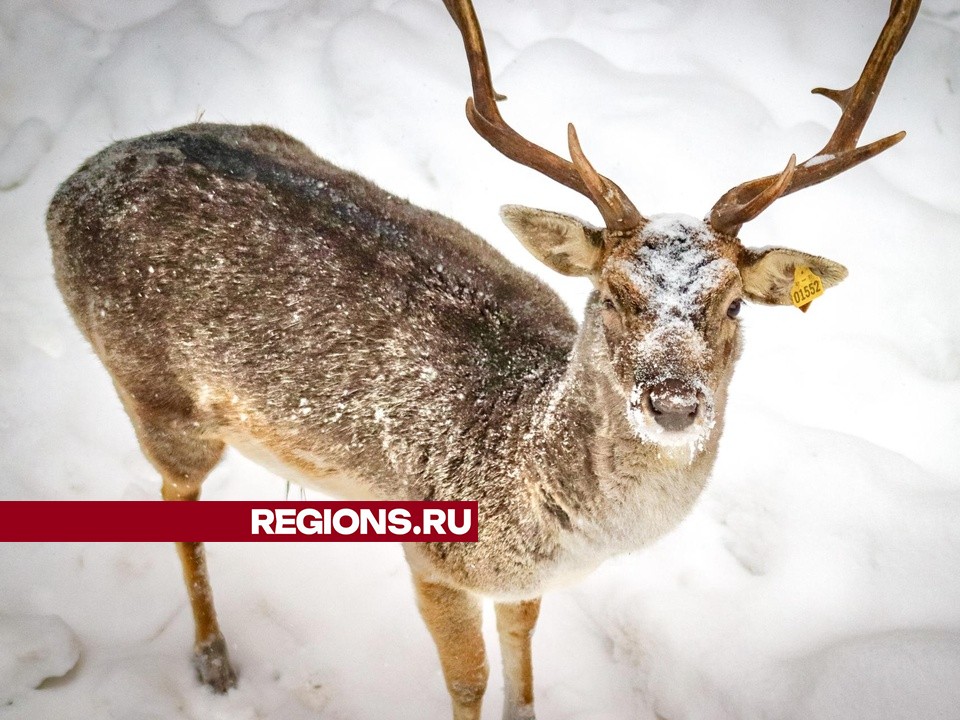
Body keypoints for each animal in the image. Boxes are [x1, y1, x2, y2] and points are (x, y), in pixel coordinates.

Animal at [47, 0, 924, 716]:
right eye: (610, 294)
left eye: (735, 303)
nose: (673, 402)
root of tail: (74, 181)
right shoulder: (434, 555)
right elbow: (468, 683)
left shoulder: (522, 583)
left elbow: (524, 665)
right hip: (155, 390)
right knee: (174, 492)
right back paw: (214, 659)